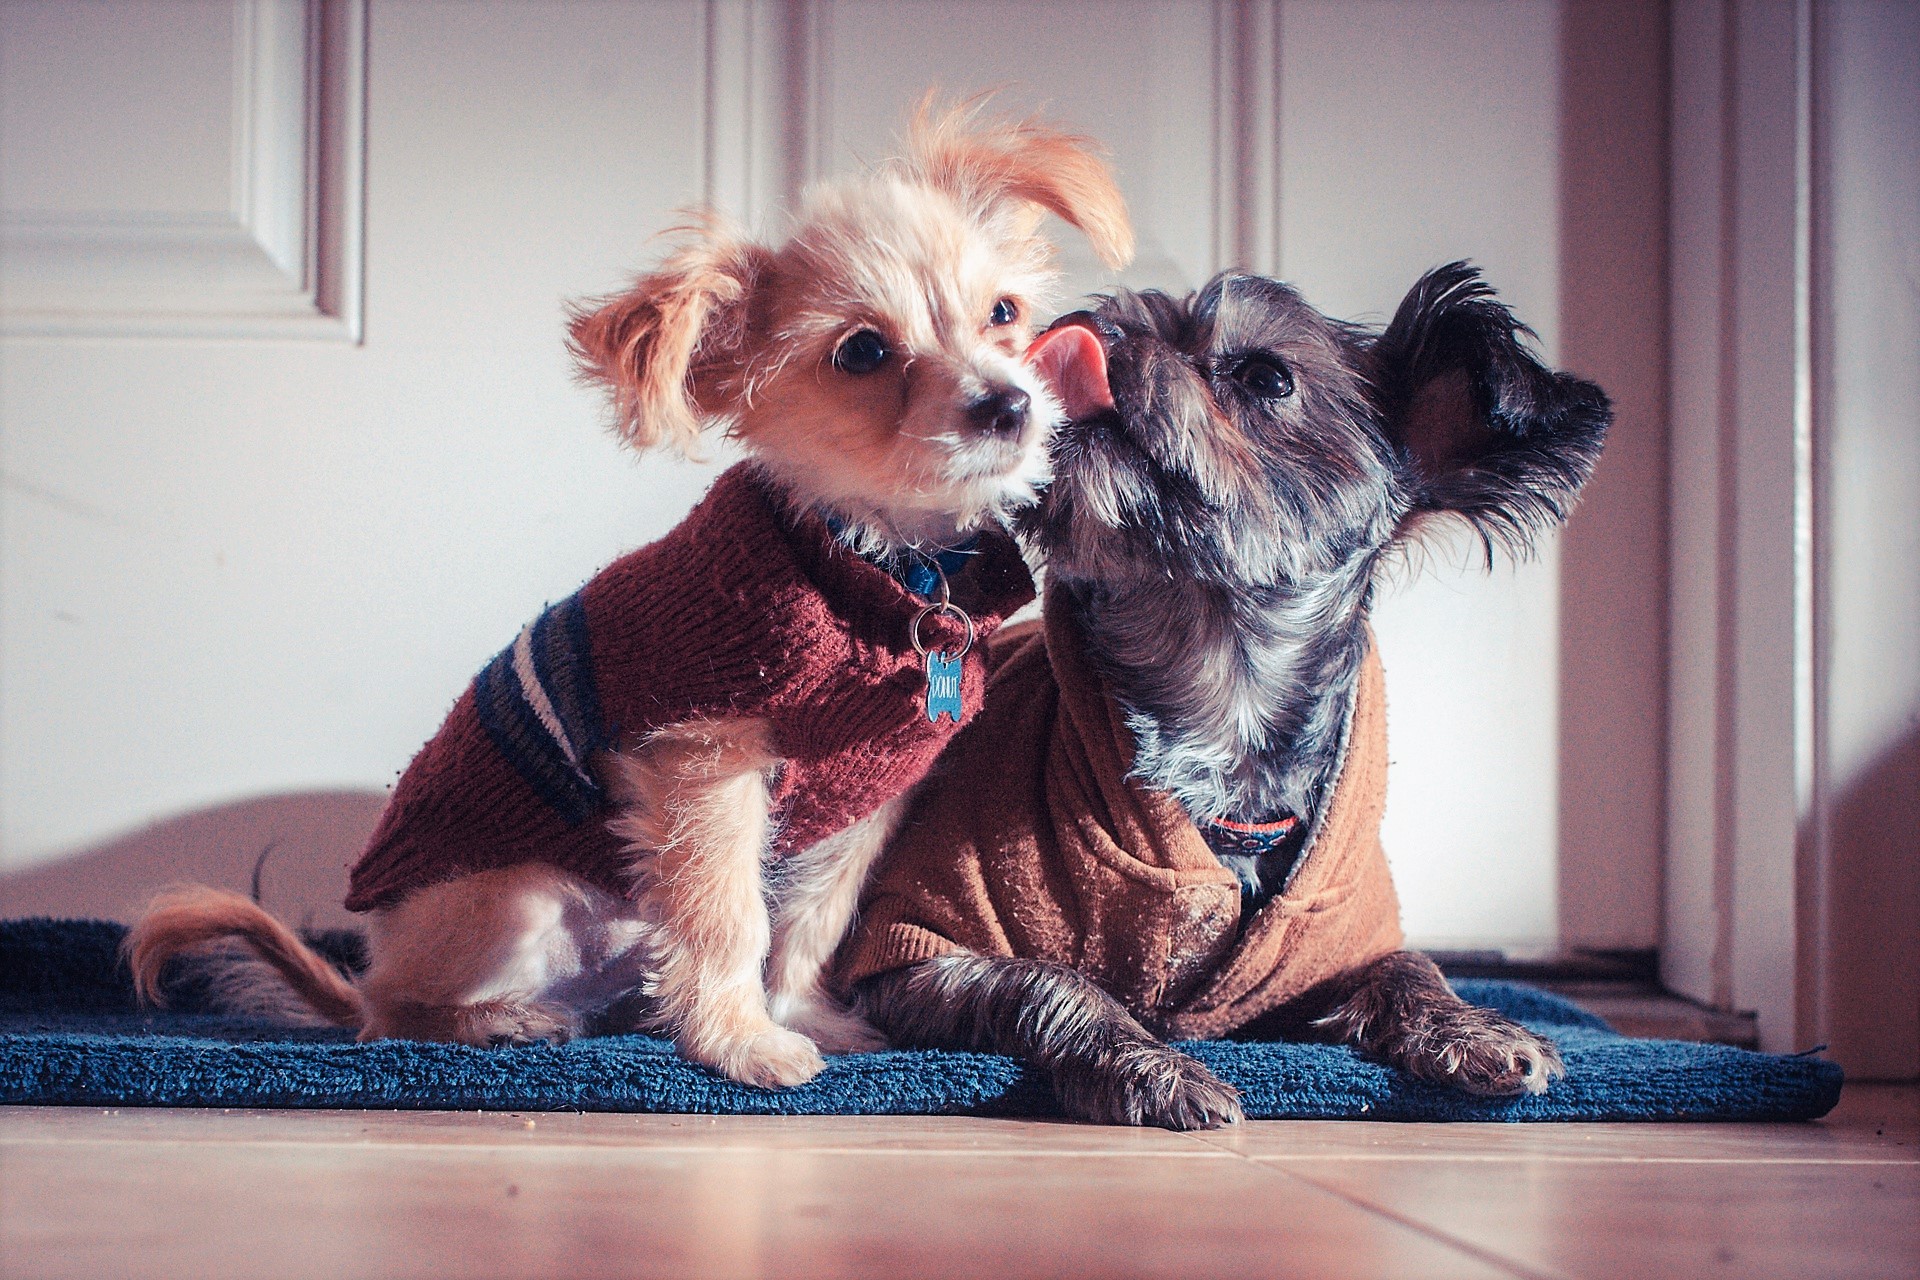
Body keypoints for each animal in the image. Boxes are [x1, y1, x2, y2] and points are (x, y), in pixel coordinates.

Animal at [127, 105, 1128, 1090]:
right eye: (863, 352)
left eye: (1003, 313)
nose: (1008, 405)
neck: (892, 566)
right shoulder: (706, 764)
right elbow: (731, 919)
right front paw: (742, 1043)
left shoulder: (864, 805)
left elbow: (811, 925)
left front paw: (800, 1017)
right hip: (519, 901)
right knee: (387, 1013)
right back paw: (499, 1022)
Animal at [852, 264, 1605, 1128]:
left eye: (1265, 377)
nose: (1099, 337)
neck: (1217, 696)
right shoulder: (915, 952)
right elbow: (1053, 981)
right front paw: (1151, 1068)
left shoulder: (1323, 952)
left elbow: (1409, 965)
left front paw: (1471, 1027)